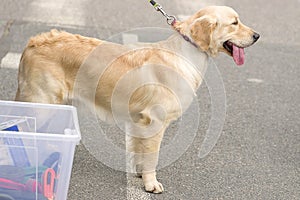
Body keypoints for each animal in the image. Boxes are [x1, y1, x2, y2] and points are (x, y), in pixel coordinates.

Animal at [15, 6, 258, 193]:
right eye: (234, 23)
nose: (257, 36)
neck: (186, 53)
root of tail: (32, 43)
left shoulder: (138, 122)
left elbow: (139, 151)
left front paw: (140, 175)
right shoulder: (155, 121)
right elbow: (152, 157)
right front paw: (151, 184)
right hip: (42, 102)